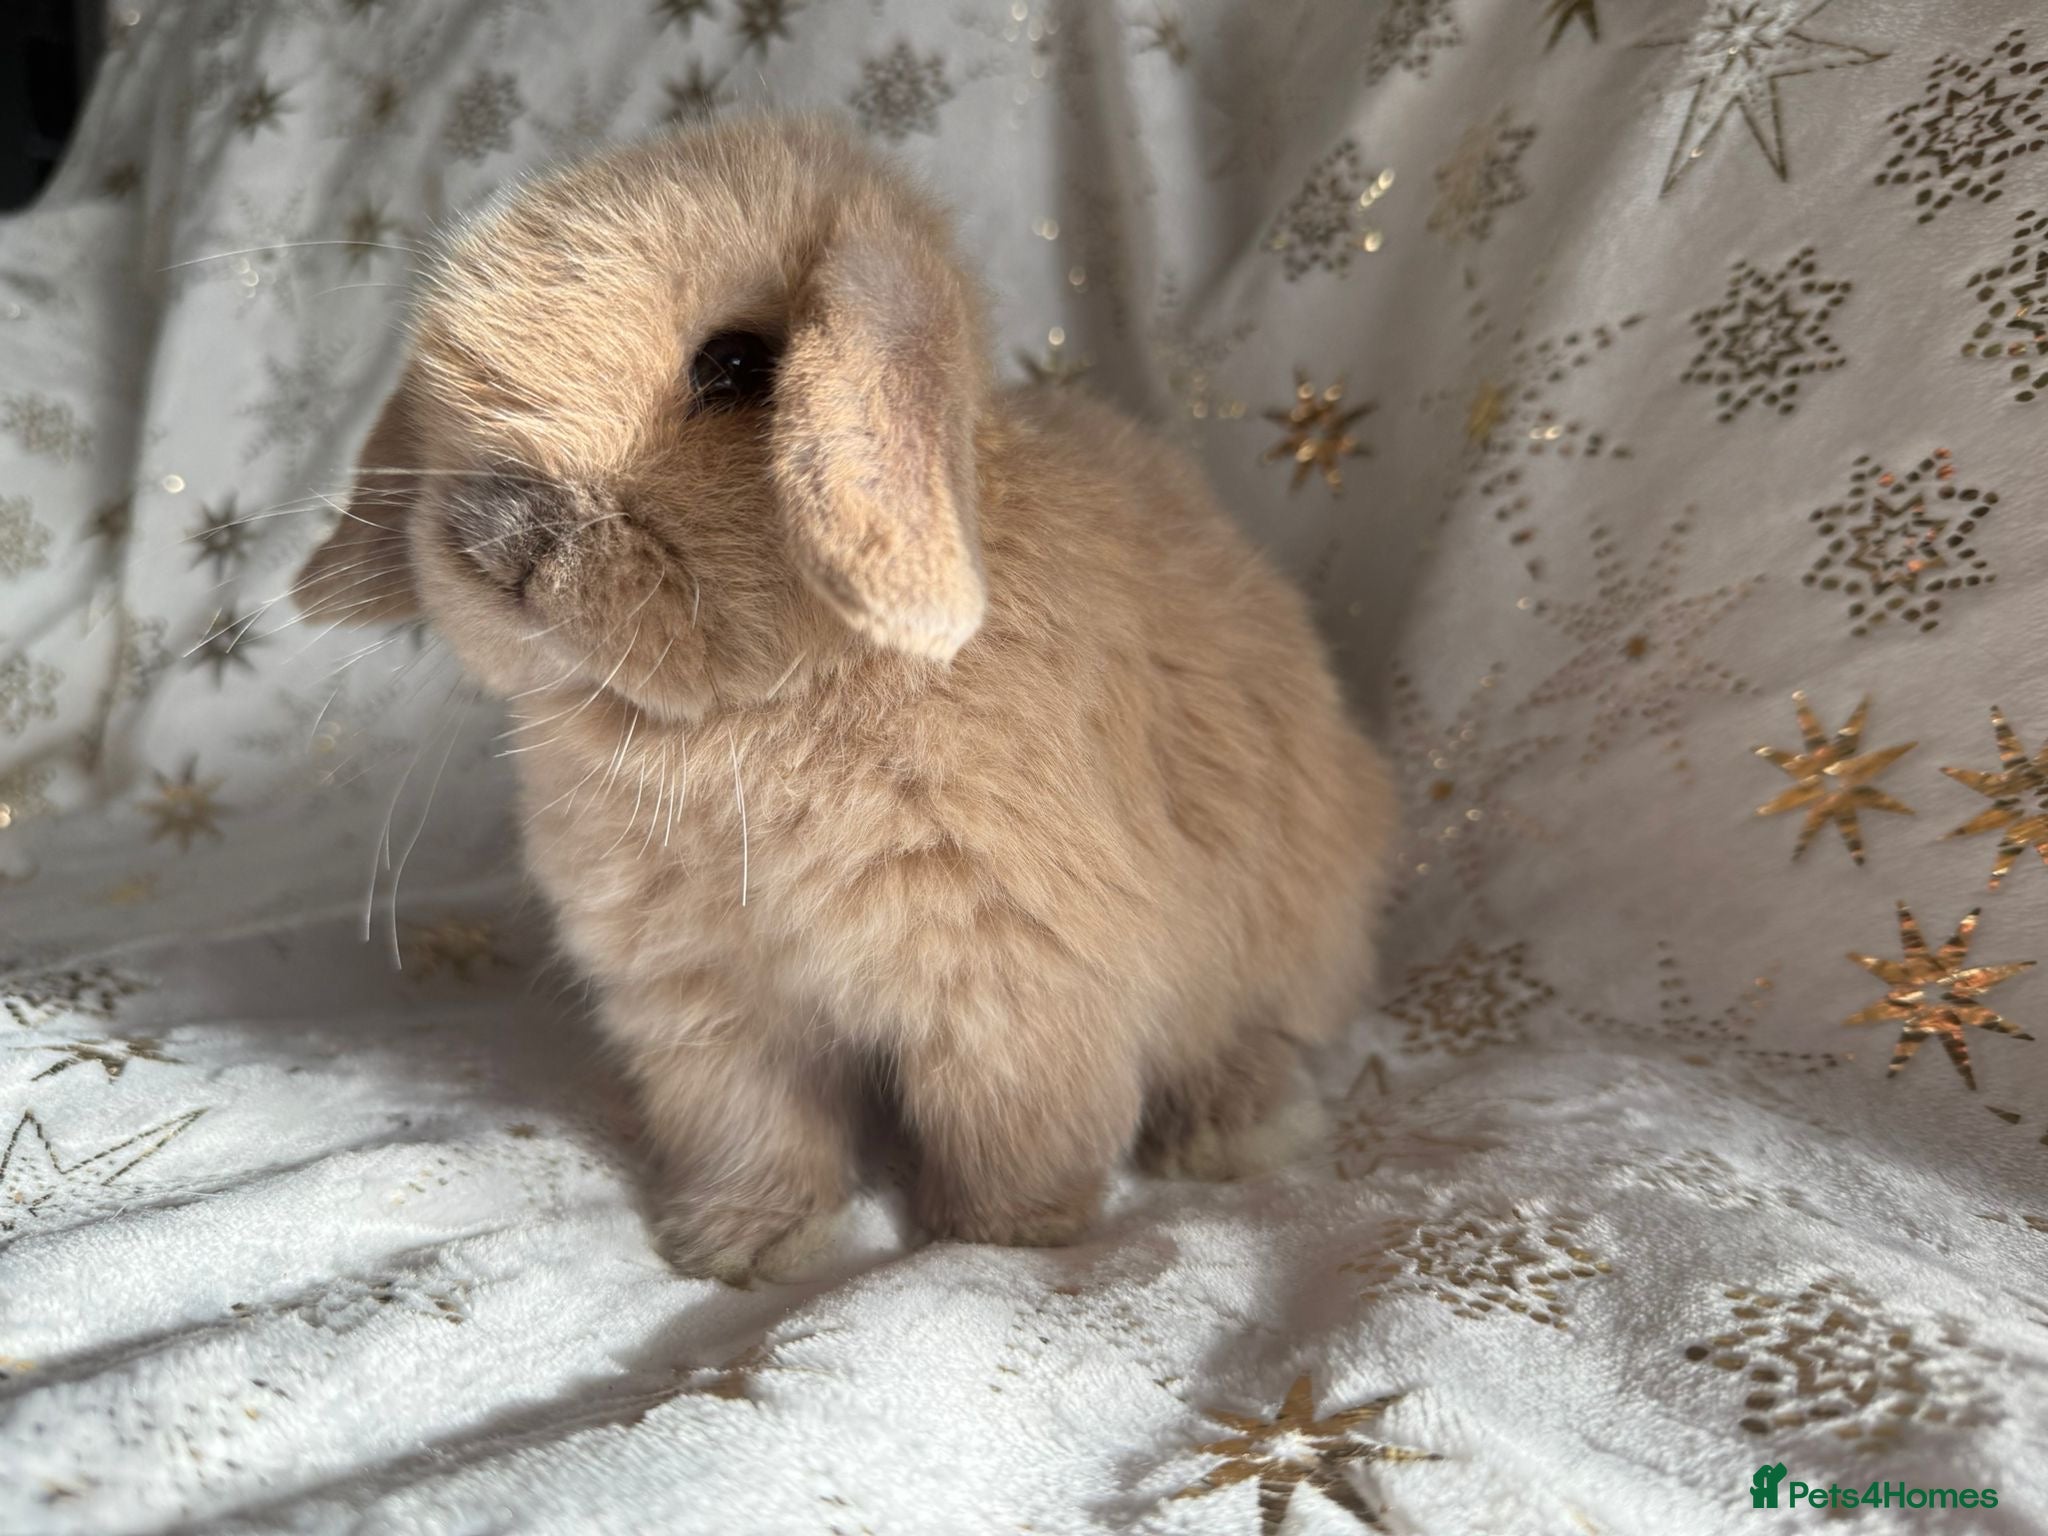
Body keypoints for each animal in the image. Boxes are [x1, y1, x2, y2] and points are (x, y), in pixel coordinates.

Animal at [295, 116, 1394, 1284]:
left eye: (737, 364)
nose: (497, 538)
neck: (744, 713)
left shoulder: (1017, 978)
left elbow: (1018, 1126)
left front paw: (999, 1240)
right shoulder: (706, 1006)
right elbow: (753, 1130)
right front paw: (740, 1245)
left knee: (1257, 1031)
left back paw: (1236, 1126)